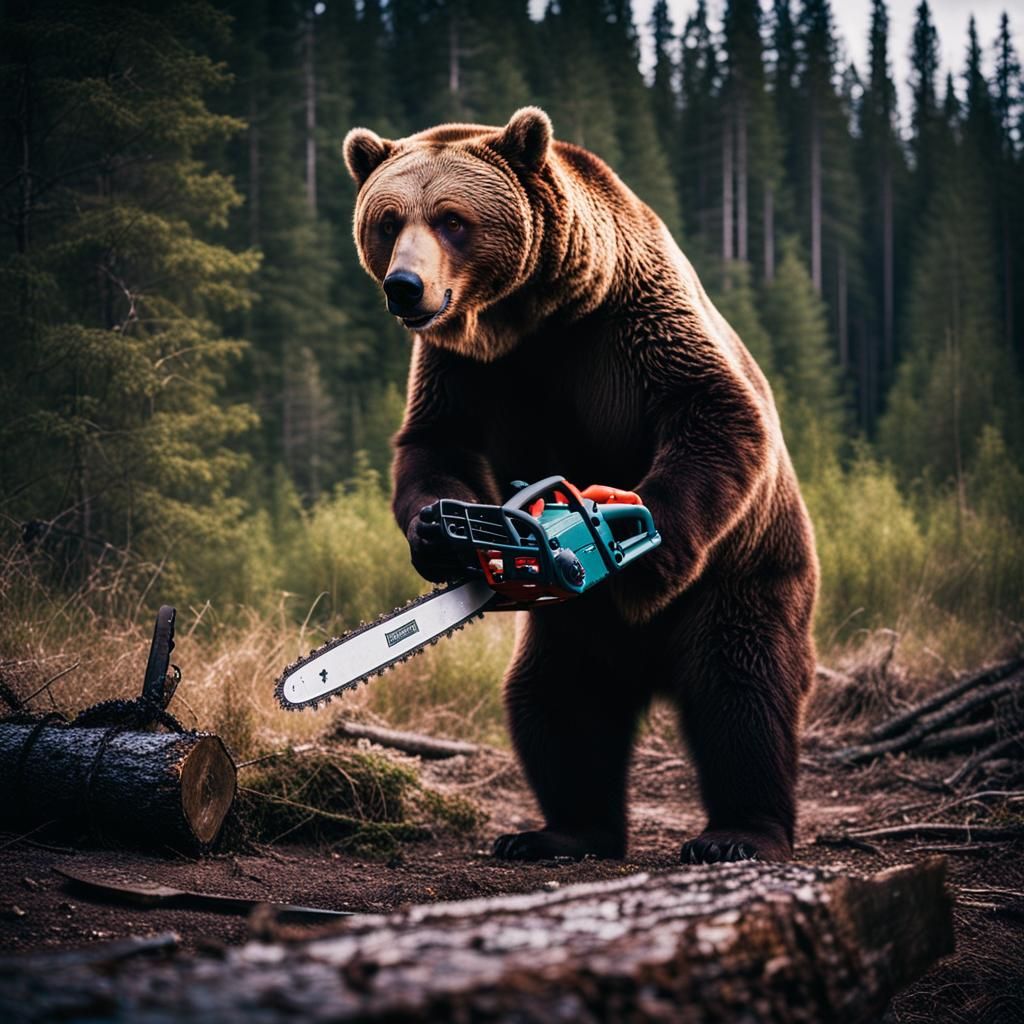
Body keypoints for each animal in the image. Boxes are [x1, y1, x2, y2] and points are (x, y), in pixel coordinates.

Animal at [342, 107, 819, 864]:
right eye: (388, 221)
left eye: (452, 219)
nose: (405, 287)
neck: (530, 320)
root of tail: (649, 664)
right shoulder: (465, 366)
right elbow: (435, 441)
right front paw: (441, 533)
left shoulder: (630, 322)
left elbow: (712, 406)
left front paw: (641, 544)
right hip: (570, 628)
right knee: (557, 702)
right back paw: (561, 830)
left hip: (748, 576)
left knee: (741, 691)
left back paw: (739, 833)